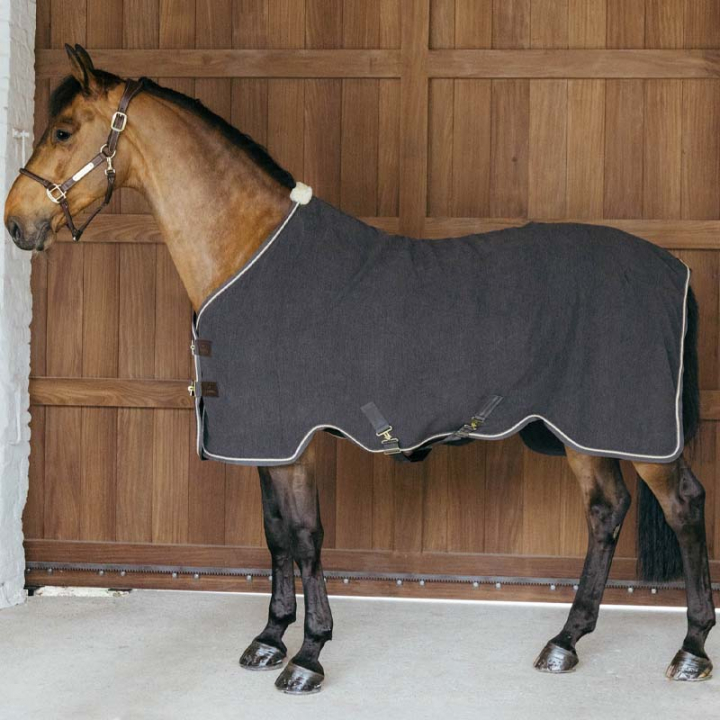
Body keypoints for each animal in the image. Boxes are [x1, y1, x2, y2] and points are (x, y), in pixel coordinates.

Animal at [4, 45, 715, 695]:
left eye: (62, 131)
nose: (16, 223)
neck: (251, 251)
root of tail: (673, 267)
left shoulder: (294, 442)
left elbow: (305, 536)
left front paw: (308, 656)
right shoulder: (264, 441)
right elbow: (274, 535)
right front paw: (269, 638)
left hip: (630, 433)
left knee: (682, 504)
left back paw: (689, 650)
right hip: (581, 432)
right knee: (606, 511)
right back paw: (566, 641)